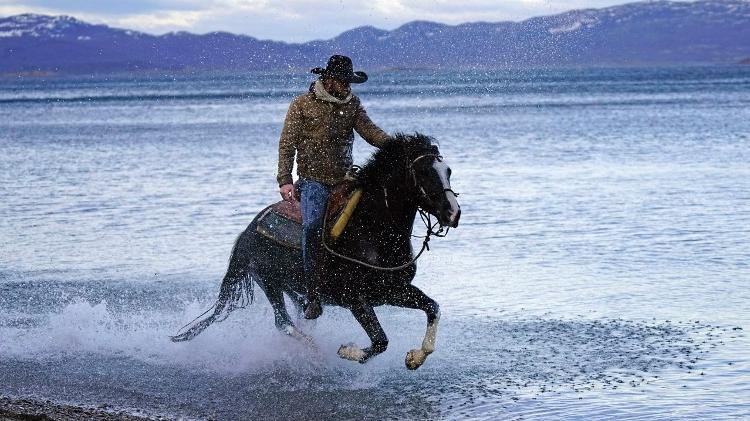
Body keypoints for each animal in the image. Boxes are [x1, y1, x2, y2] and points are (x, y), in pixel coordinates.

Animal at [173, 134, 462, 368]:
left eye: (448, 170)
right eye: (424, 173)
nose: (453, 213)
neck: (371, 231)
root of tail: (248, 231)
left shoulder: (392, 290)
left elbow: (433, 308)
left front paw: (415, 358)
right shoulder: (356, 298)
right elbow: (380, 341)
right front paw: (346, 351)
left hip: (289, 285)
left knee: (299, 314)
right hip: (269, 281)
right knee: (284, 323)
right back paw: (314, 351)